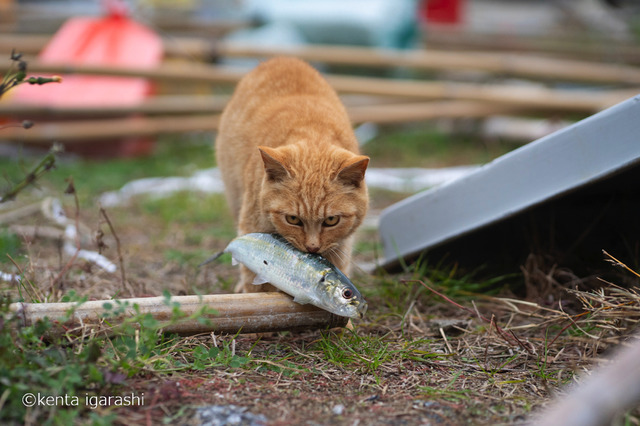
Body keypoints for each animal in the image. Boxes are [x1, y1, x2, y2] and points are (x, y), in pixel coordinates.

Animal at [215, 57, 368, 292]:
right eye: (293, 219)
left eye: (331, 220)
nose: (312, 247)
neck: (312, 133)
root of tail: (282, 58)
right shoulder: (253, 229)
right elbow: (256, 283)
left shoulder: (340, 248)